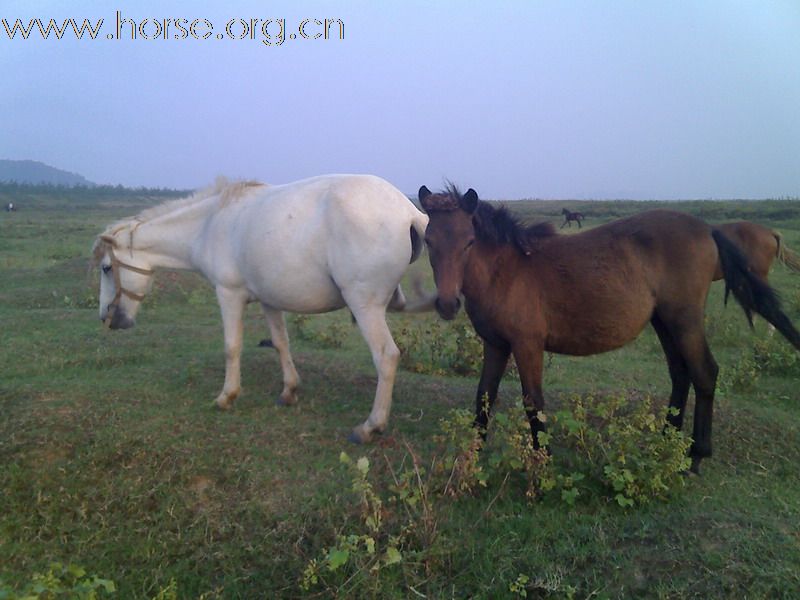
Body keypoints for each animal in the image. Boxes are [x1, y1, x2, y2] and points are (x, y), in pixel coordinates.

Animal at [92, 173, 432, 440]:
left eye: (107, 268)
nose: (108, 318)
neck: (210, 224)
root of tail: (409, 212)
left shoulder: (228, 295)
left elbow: (232, 346)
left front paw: (227, 396)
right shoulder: (270, 301)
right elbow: (281, 343)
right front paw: (289, 391)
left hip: (365, 306)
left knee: (386, 357)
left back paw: (371, 426)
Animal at [418, 185, 800, 476]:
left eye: (469, 241)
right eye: (428, 240)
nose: (448, 304)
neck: (507, 271)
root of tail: (708, 229)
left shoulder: (527, 345)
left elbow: (533, 403)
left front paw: (544, 465)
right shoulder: (496, 345)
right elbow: (484, 398)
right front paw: (471, 458)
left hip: (684, 318)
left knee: (705, 372)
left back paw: (695, 458)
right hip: (663, 321)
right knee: (680, 373)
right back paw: (666, 440)